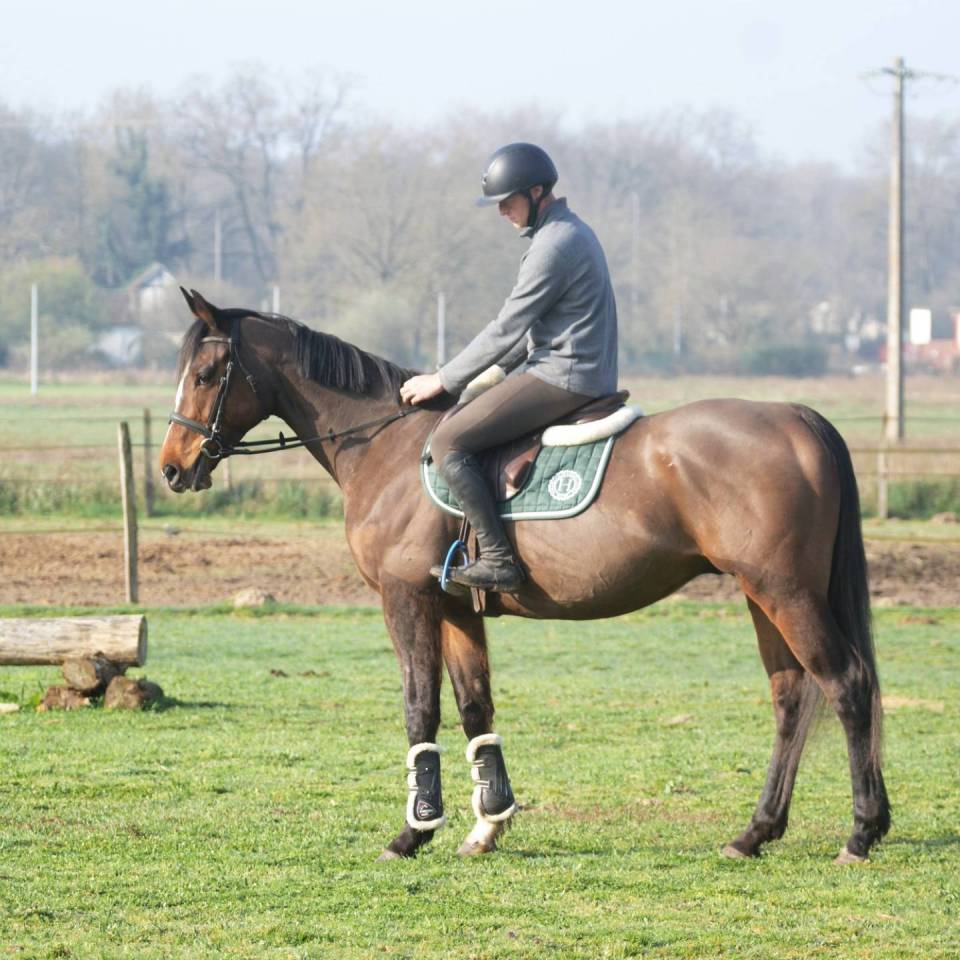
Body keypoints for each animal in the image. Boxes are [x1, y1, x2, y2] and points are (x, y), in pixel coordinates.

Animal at [160, 289, 890, 864]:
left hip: (785, 592)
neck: (389, 448)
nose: (172, 466)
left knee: (846, 685)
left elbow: (419, 706)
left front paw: (413, 831)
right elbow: (474, 707)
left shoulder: (406, 599)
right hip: (762, 595)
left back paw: (860, 833)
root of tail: (797, 417)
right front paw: (488, 826)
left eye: (208, 371)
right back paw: (755, 833)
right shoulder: (456, 608)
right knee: (791, 696)